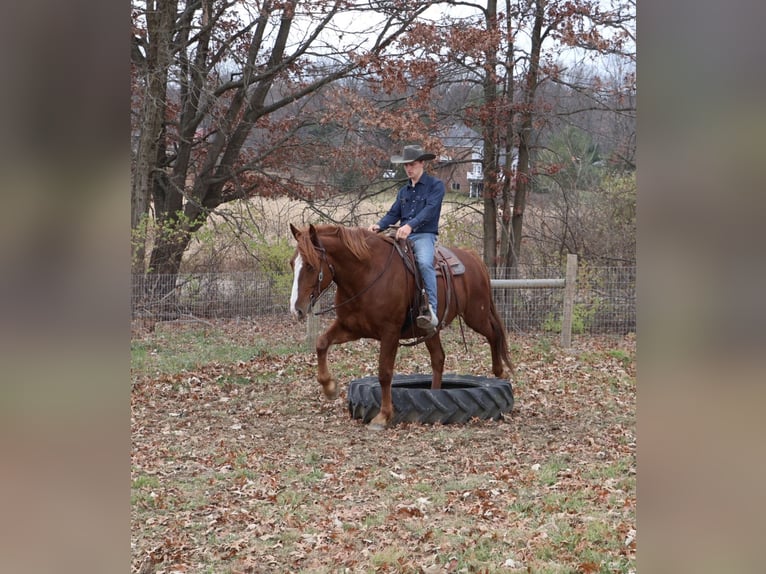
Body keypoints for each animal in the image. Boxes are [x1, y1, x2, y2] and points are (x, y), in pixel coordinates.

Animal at [289, 223, 513, 430]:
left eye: (310, 266)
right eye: (292, 264)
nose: (296, 309)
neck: (366, 273)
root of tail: (472, 257)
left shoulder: (390, 332)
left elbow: (384, 372)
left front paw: (383, 416)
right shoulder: (350, 327)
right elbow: (321, 343)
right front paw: (329, 387)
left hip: (476, 315)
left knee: (494, 334)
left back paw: (500, 372)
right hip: (431, 329)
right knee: (439, 358)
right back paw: (434, 394)